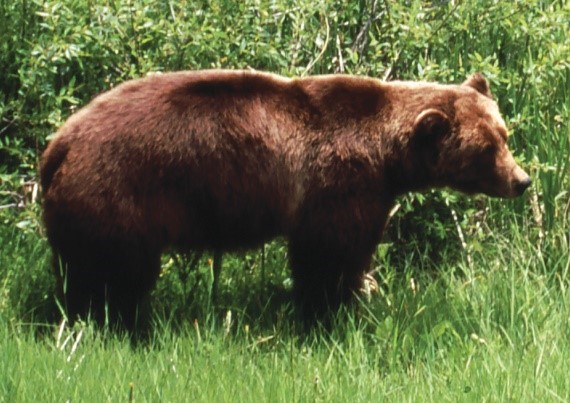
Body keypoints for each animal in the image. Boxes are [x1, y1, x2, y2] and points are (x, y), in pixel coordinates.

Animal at [40, 69, 528, 328]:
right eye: (486, 149)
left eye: (504, 134)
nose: (521, 181)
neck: (388, 155)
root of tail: (58, 144)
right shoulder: (342, 183)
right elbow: (330, 254)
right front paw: (336, 310)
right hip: (118, 194)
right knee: (116, 271)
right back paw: (116, 322)